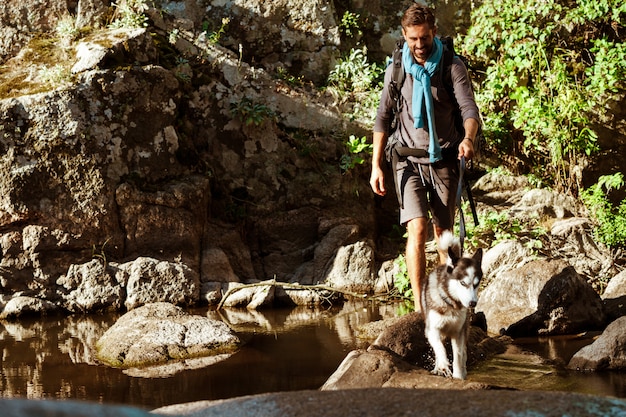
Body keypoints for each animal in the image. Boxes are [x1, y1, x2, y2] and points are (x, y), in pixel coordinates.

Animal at [420, 231, 482, 380]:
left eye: (476, 284)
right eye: (463, 283)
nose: (473, 303)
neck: (451, 304)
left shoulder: (458, 332)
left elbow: (458, 356)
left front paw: (458, 376)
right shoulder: (432, 330)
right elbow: (440, 348)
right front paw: (443, 365)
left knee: (463, 353)